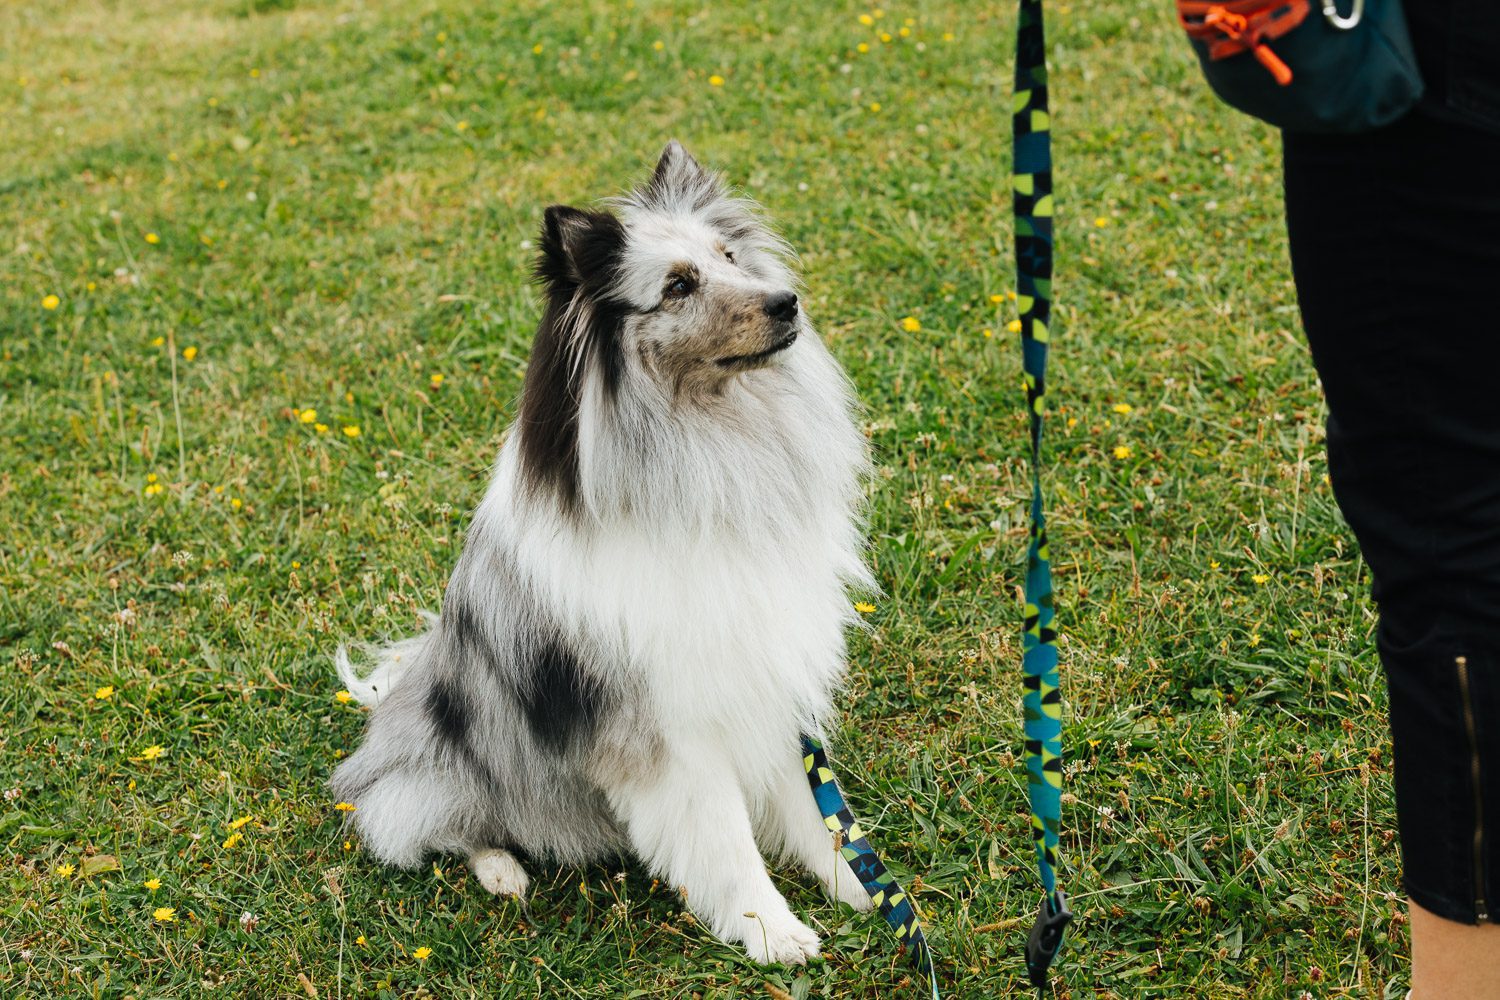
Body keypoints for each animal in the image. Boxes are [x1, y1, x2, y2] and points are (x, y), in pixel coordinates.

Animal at [328, 140, 870, 959]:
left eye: (730, 257)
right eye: (677, 286)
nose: (786, 302)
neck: (707, 443)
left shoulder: (759, 675)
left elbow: (813, 814)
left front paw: (860, 888)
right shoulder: (671, 726)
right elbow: (727, 843)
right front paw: (774, 933)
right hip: (448, 766)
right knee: (431, 822)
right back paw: (502, 871)